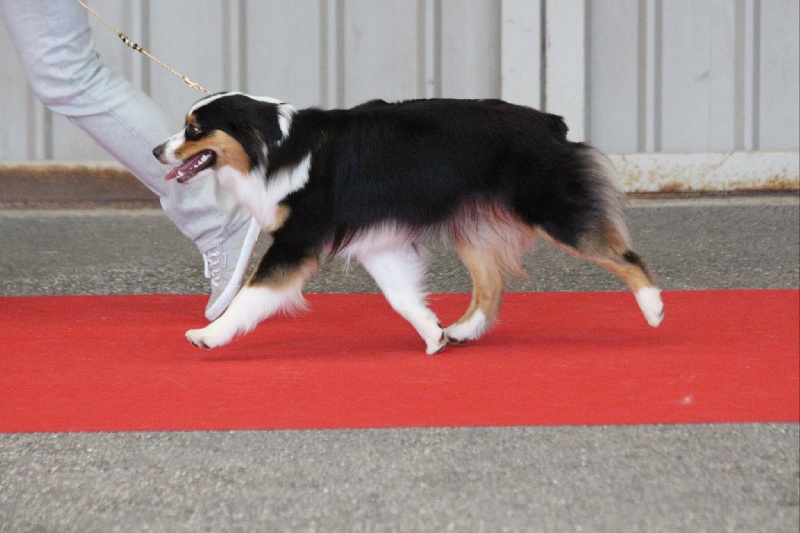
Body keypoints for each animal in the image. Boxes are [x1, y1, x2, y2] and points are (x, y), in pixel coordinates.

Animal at [153, 92, 664, 354]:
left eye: (194, 129)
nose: (156, 150)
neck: (273, 148)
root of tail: (551, 123)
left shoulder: (298, 240)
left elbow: (251, 294)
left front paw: (209, 335)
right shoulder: (376, 241)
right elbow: (400, 295)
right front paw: (432, 333)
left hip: (552, 209)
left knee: (623, 253)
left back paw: (654, 307)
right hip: (472, 226)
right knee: (491, 285)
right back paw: (461, 331)